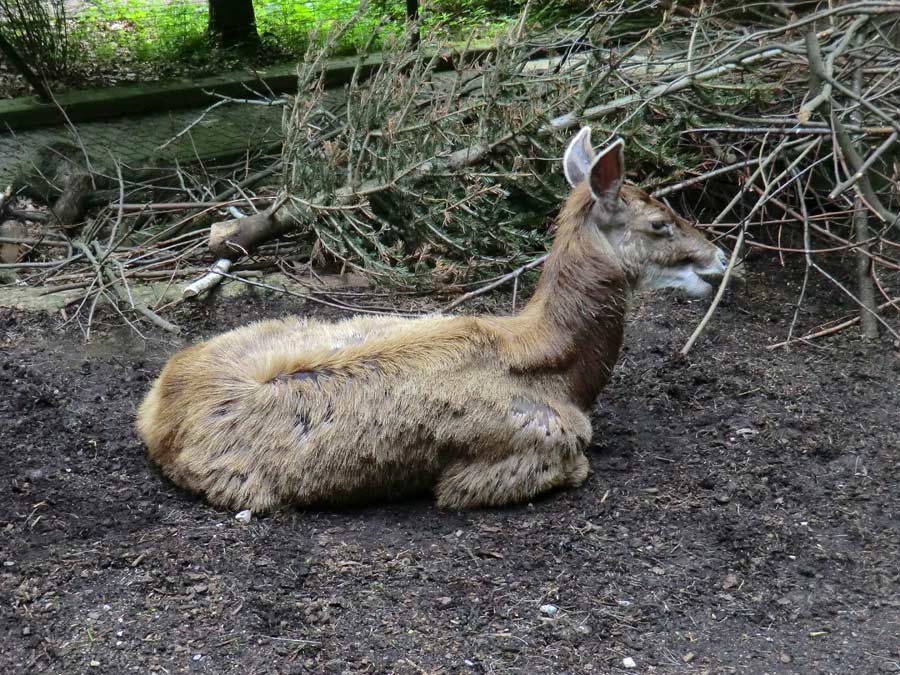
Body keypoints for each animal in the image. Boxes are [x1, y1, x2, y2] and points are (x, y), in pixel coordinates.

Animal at [139, 128, 732, 512]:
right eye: (659, 222)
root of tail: (156, 409)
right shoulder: (526, 453)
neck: (565, 374)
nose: (720, 256)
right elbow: (571, 468)